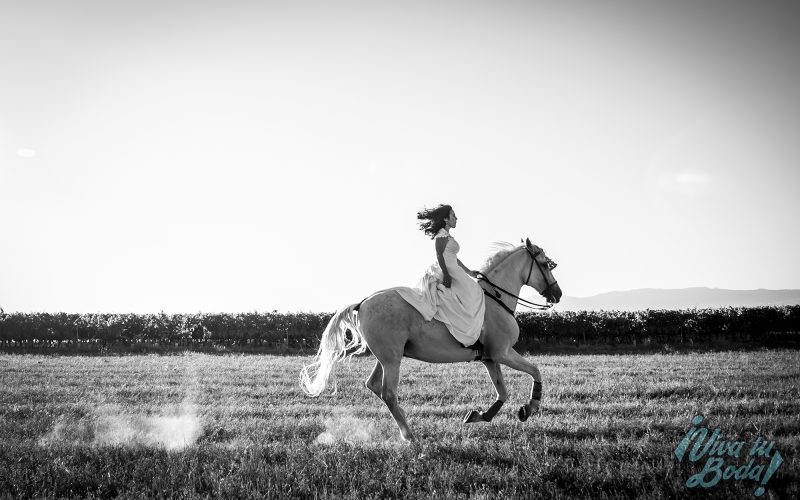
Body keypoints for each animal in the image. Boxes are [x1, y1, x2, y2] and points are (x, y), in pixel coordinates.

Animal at [302, 238, 564, 442]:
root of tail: (363, 302)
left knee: (374, 385)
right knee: (388, 393)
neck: (496, 299)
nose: (557, 294)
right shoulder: (503, 352)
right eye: (545, 264)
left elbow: (502, 392)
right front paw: (530, 407)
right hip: (392, 360)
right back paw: (409, 435)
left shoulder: (490, 358)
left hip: (386, 358)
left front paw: (480, 416)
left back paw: (405, 426)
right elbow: (535, 371)